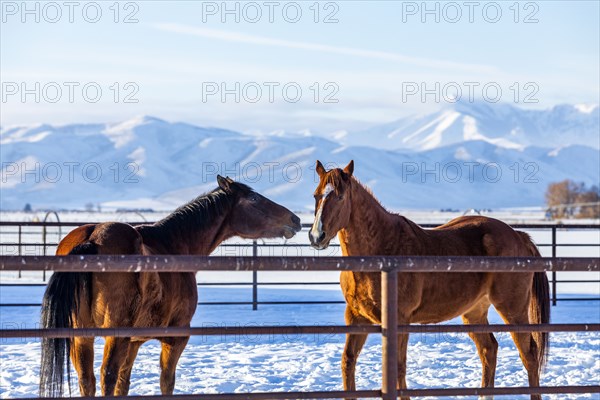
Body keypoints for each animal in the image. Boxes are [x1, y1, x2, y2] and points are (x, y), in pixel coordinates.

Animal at [39, 177, 300, 398]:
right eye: (254, 198)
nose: (295, 220)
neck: (173, 244)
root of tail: (91, 239)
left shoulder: (132, 343)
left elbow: (124, 383)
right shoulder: (175, 338)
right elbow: (166, 381)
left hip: (82, 337)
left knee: (88, 379)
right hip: (113, 335)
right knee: (106, 376)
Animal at [310, 161, 548, 398]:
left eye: (340, 197)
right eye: (316, 195)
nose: (316, 236)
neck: (381, 248)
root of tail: (518, 235)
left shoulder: (400, 320)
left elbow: (398, 369)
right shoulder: (356, 318)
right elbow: (348, 362)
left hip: (513, 310)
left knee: (529, 354)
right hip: (474, 312)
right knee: (489, 349)